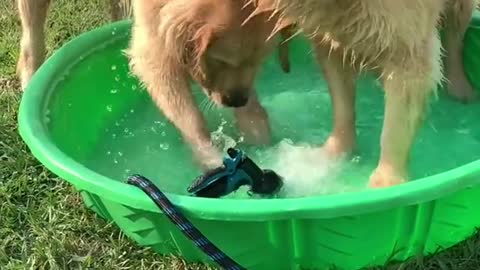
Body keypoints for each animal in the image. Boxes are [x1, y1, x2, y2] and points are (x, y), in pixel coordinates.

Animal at [126, 0, 292, 169]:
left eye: (259, 62)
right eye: (221, 61)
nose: (237, 101)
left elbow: (253, 110)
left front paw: (258, 136)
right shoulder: (156, 56)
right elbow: (190, 118)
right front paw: (210, 156)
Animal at [253, 0, 478, 188]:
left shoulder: (407, 45)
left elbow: (395, 128)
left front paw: (387, 182)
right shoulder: (331, 33)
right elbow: (342, 104)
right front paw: (335, 153)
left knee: (455, 37)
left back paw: (461, 89)